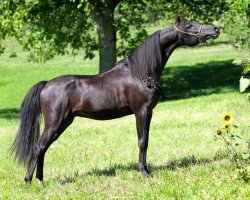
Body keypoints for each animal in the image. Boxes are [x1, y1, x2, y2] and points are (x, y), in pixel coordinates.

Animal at [12, 16, 219, 184]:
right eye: (190, 26)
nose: (215, 29)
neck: (140, 72)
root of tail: (47, 84)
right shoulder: (142, 111)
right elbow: (142, 141)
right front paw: (145, 172)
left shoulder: (146, 112)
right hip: (55, 123)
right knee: (38, 147)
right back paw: (29, 180)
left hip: (62, 123)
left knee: (44, 148)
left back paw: (40, 180)